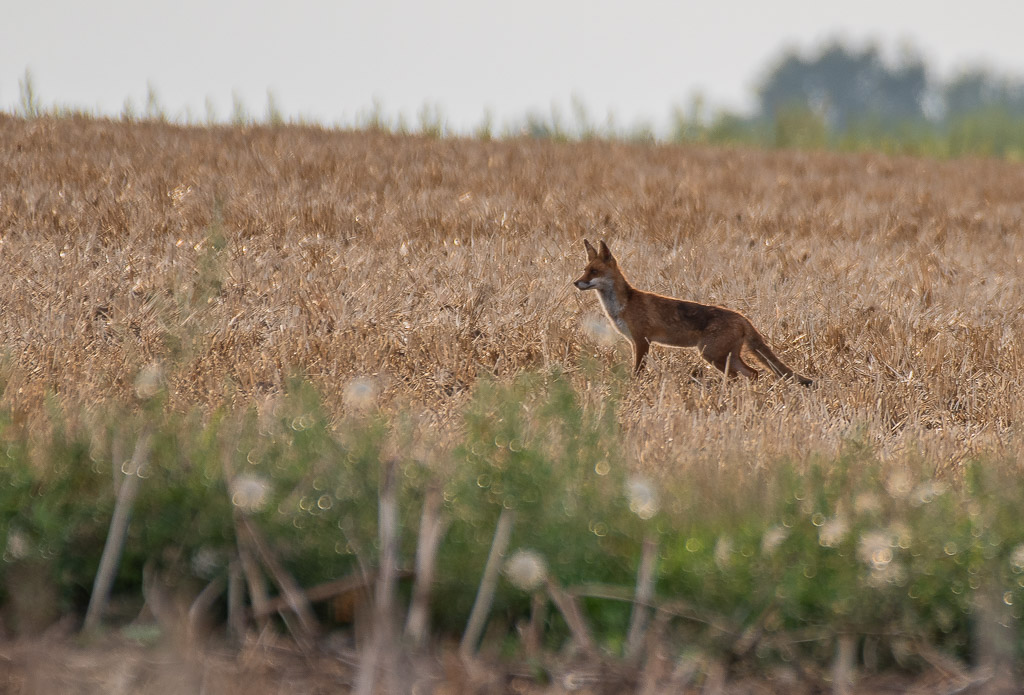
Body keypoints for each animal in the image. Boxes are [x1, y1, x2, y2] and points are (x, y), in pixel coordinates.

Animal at [574, 239, 813, 386]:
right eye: (584, 270)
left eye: (594, 271)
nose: (576, 283)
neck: (623, 305)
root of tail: (743, 318)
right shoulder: (636, 342)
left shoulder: (642, 341)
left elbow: (637, 371)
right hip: (727, 356)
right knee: (753, 373)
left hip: (711, 354)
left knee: (740, 376)